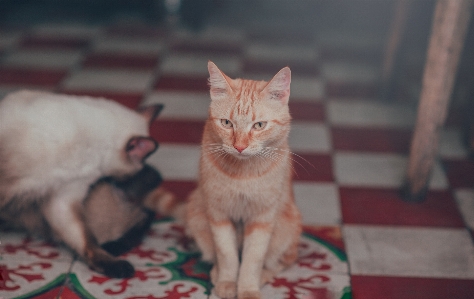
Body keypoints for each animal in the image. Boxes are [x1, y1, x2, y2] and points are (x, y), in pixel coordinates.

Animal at [158, 61, 300, 299]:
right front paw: (227, 282)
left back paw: (263, 276)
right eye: (226, 123)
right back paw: (216, 274)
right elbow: (227, 255)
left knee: (282, 261)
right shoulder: (218, 214)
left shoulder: (262, 219)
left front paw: (248, 289)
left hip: (286, 227)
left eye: (259, 125)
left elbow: (252, 260)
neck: (242, 173)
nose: (239, 146)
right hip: (197, 215)